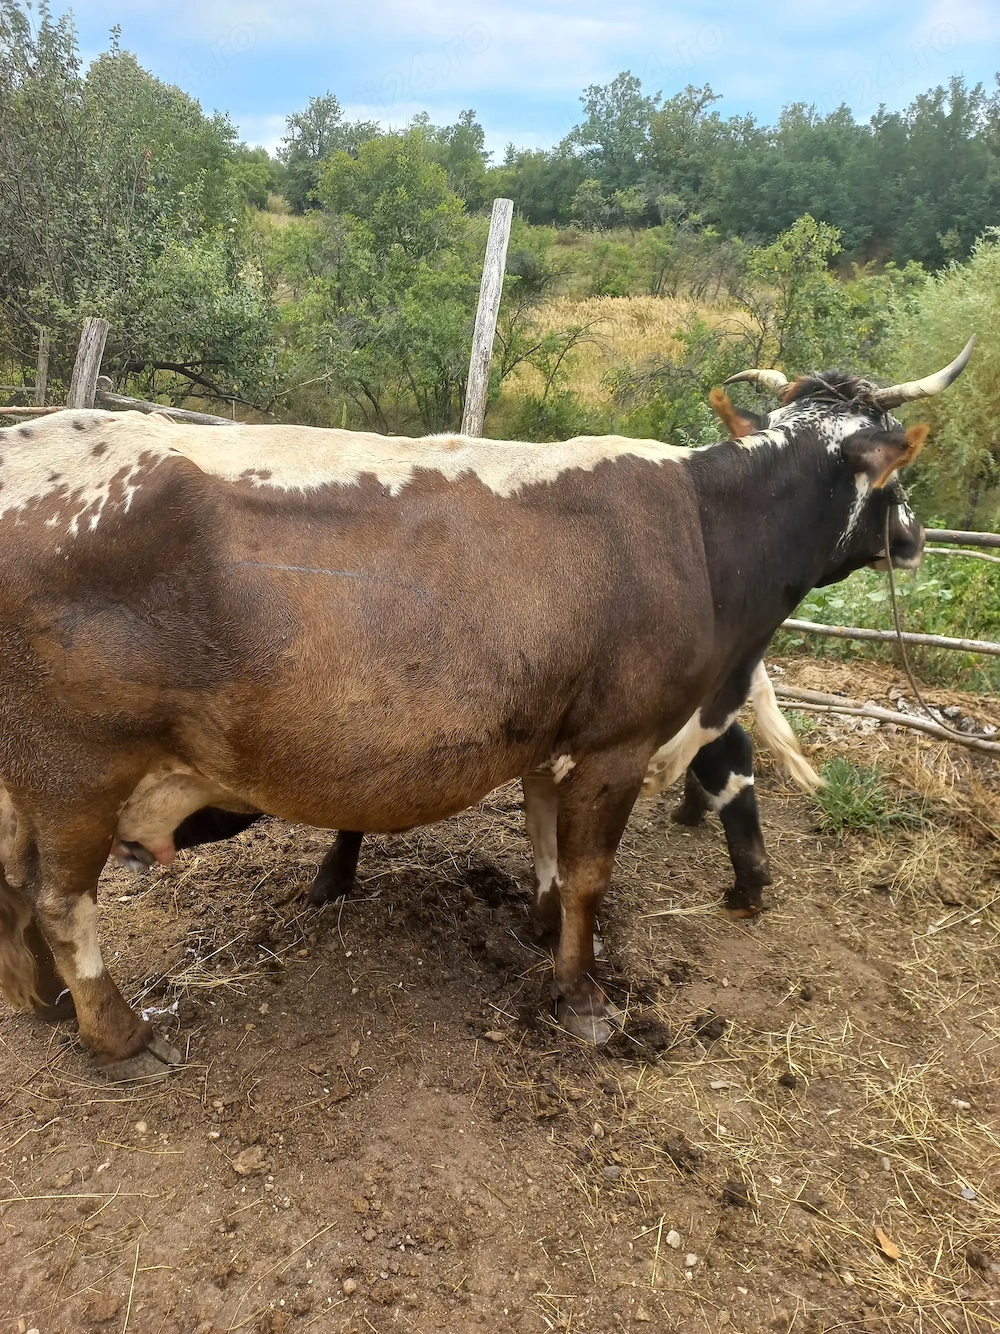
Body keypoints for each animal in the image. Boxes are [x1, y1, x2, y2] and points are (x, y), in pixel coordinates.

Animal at [0, 340, 971, 1077]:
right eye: (891, 474)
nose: (916, 536)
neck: (707, 534)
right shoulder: (620, 740)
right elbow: (589, 871)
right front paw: (581, 995)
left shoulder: (554, 730)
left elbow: (545, 840)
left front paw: (540, 927)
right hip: (77, 770)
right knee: (60, 899)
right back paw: (118, 1034)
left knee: (13, 883)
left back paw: (38, 1000)